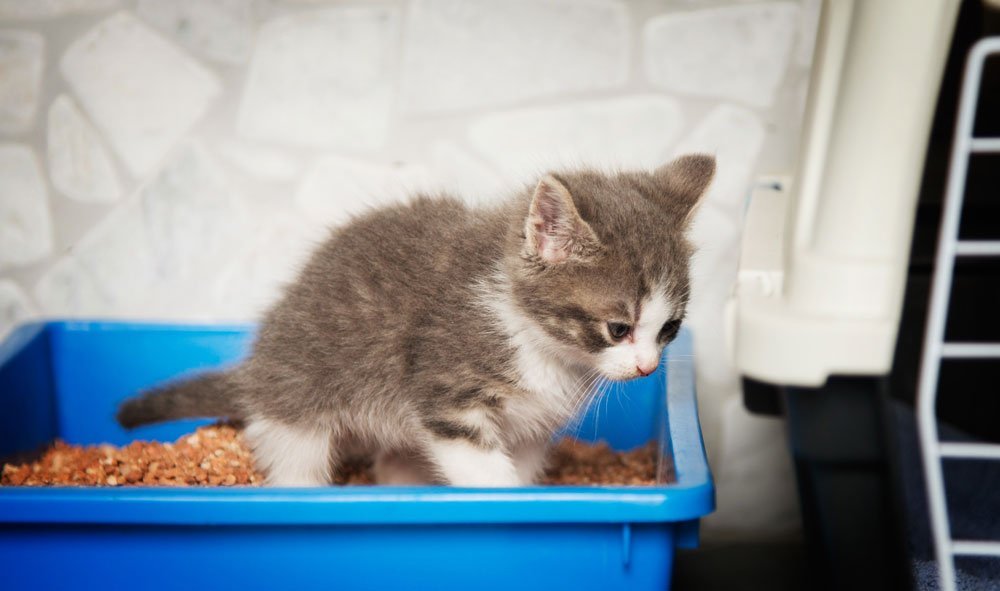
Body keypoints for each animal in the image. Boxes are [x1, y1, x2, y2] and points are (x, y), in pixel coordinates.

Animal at [115, 155, 712, 488]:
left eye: (669, 330)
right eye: (618, 329)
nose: (646, 368)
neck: (538, 342)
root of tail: (257, 365)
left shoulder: (532, 426)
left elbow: (519, 463)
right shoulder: (446, 392)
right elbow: (484, 469)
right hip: (298, 393)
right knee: (294, 455)